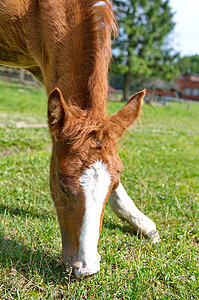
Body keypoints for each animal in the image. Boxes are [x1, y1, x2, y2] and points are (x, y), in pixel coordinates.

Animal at [0, 0, 159, 278]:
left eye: (114, 185)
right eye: (62, 186)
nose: (85, 268)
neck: (37, 9)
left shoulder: (46, 66)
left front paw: (142, 222)